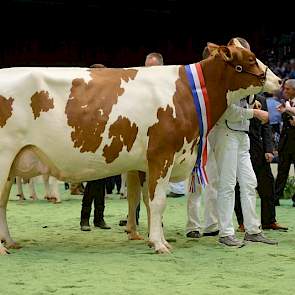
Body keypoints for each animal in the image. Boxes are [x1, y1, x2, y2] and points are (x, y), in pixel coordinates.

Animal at [0, 42, 282, 256]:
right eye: (250, 58)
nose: (279, 80)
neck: (186, 91)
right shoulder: (162, 155)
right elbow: (158, 202)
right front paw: (159, 244)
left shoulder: (146, 163)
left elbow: (146, 201)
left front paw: (154, 238)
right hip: (4, 157)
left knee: (2, 202)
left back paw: (10, 242)